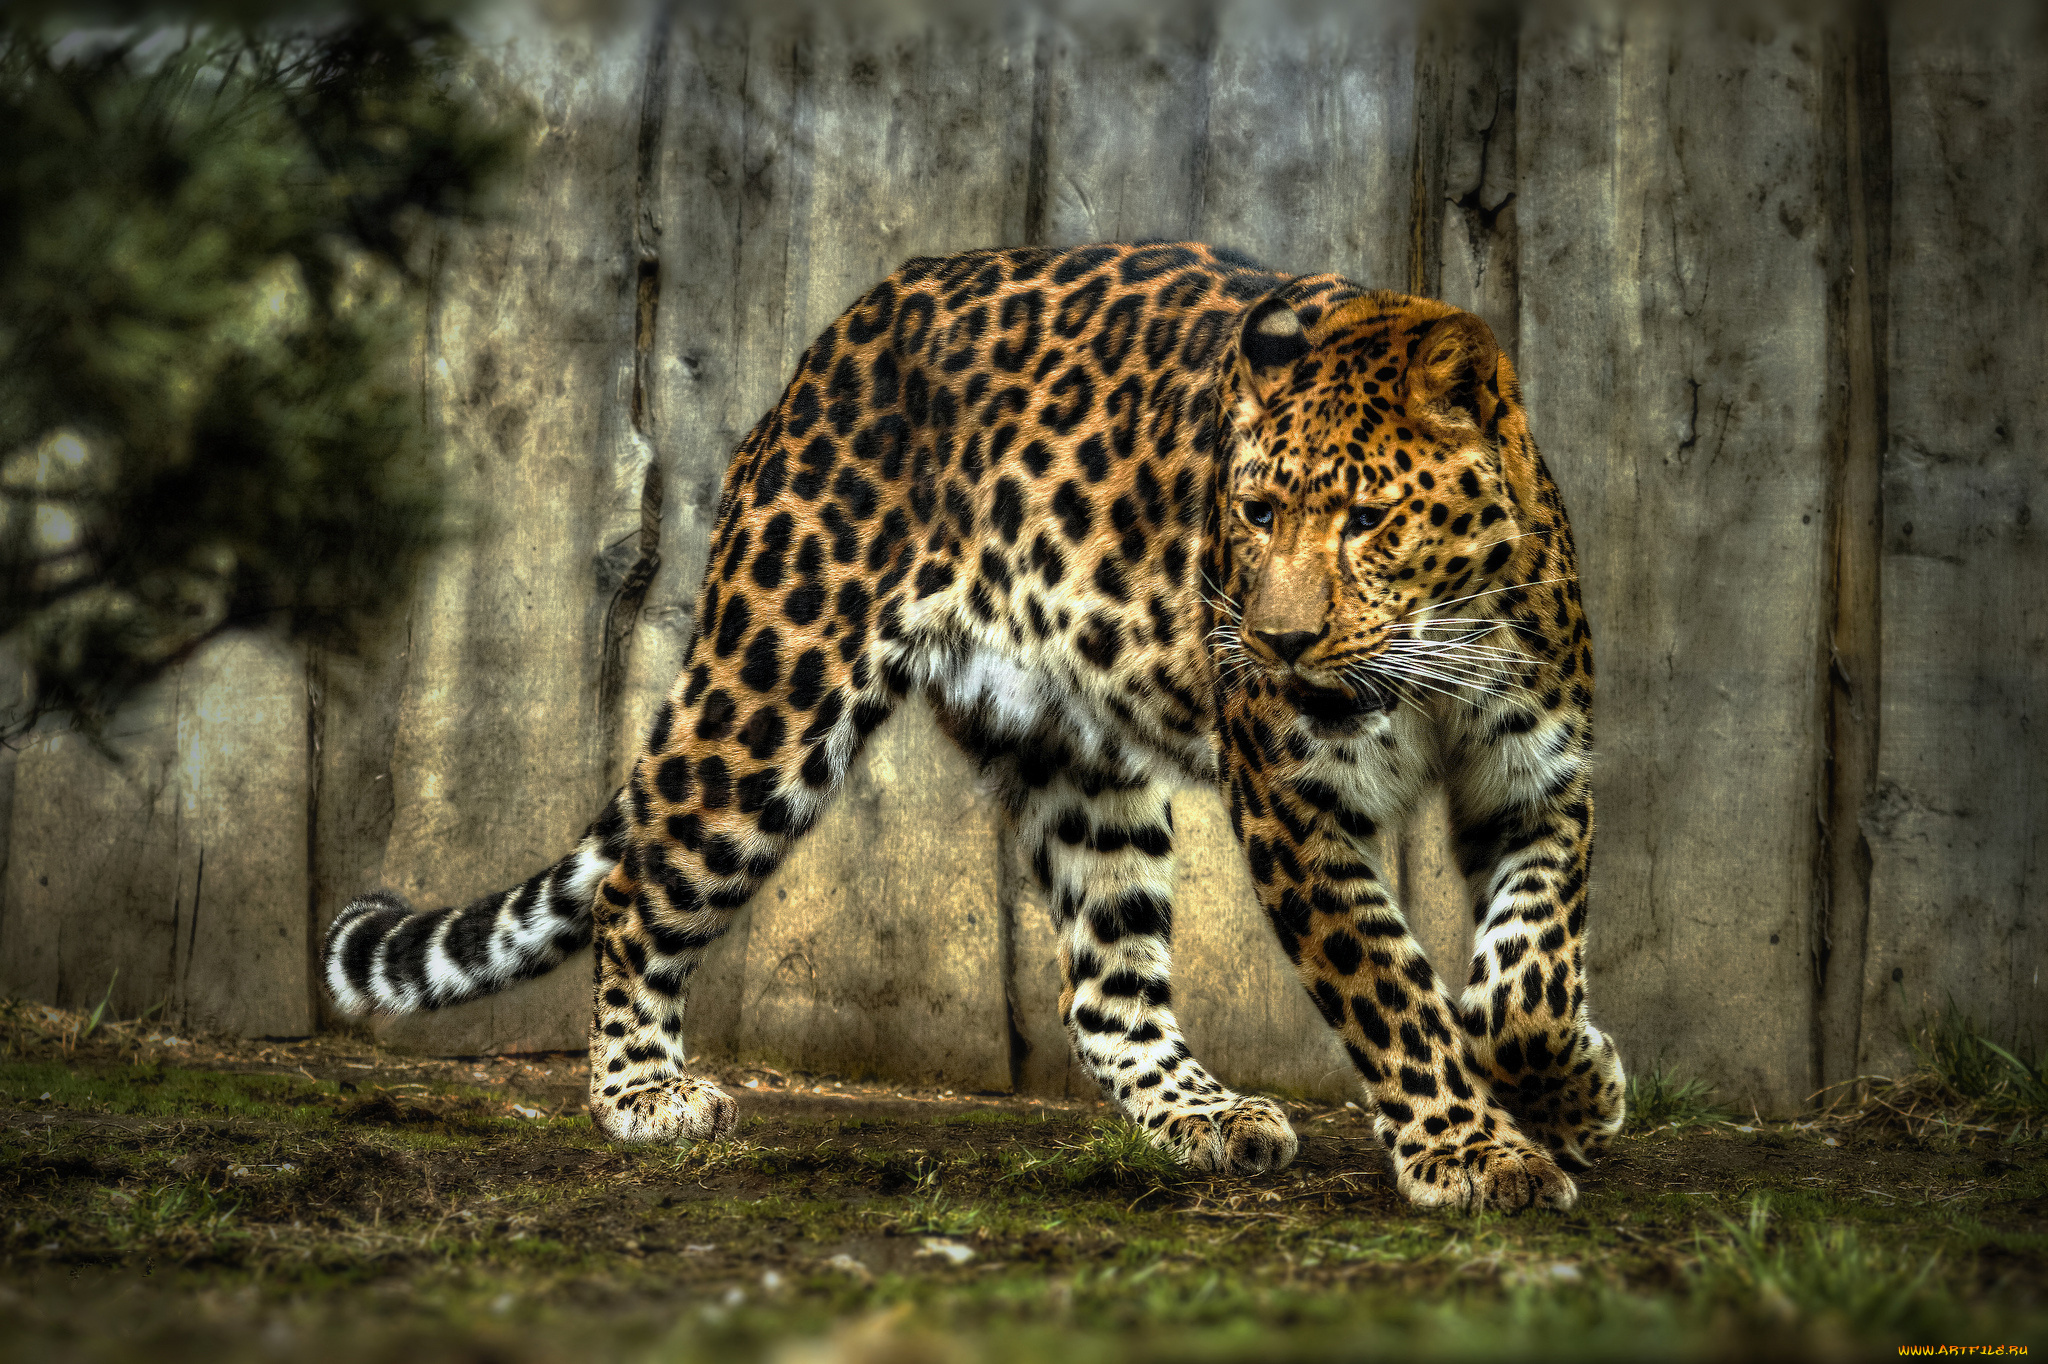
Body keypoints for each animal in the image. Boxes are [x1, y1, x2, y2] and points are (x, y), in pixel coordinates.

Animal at [322, 240, 1626, 1211]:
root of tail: (828, 342)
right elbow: (1388, 984)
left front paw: (1569, 1082)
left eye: (1363, 519)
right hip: (775, 686)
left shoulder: (1540, 773)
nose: (1278, 642)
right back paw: (644, 1096)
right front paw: (1473, 1148)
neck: (1438, 652)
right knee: (638, 882)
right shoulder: (1294, 805)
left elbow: (1528, 973)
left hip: (1077, 755)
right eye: (1255, 511)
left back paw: (1204, 1113)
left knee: (1102, 984)